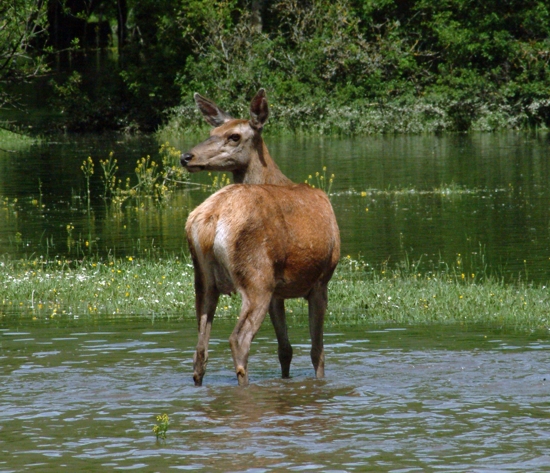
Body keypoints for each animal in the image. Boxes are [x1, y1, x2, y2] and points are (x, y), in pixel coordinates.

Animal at [181, 87, 340, 384]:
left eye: (233, 135)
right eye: (212, 132)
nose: (186, 157)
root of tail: (210, 222)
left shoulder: (279, 291)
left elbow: (285, 349)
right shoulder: (321, 281)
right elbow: (317, 351)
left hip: (203, 280)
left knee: (199, 352)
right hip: (255, 276)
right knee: (238, 339)